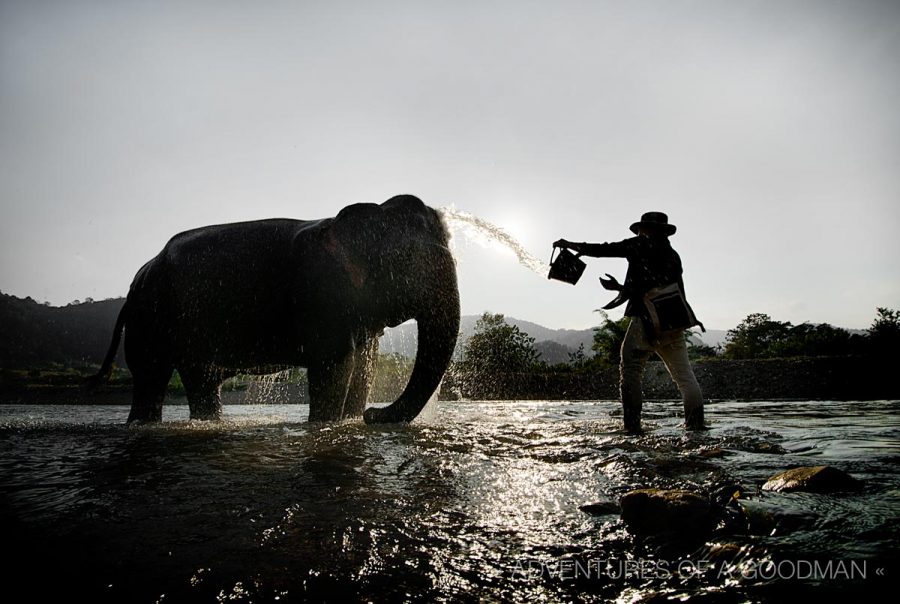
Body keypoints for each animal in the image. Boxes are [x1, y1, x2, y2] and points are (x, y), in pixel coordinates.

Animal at [89, 196, 460, 422]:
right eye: (407, 260)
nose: (374, 414)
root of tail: (139, 278)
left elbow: (364, 368)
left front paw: (353, 419)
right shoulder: (322, 295)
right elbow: (335, 366)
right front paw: (331, 425)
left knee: (200, 381)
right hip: (151, 318)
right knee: (152, 377)